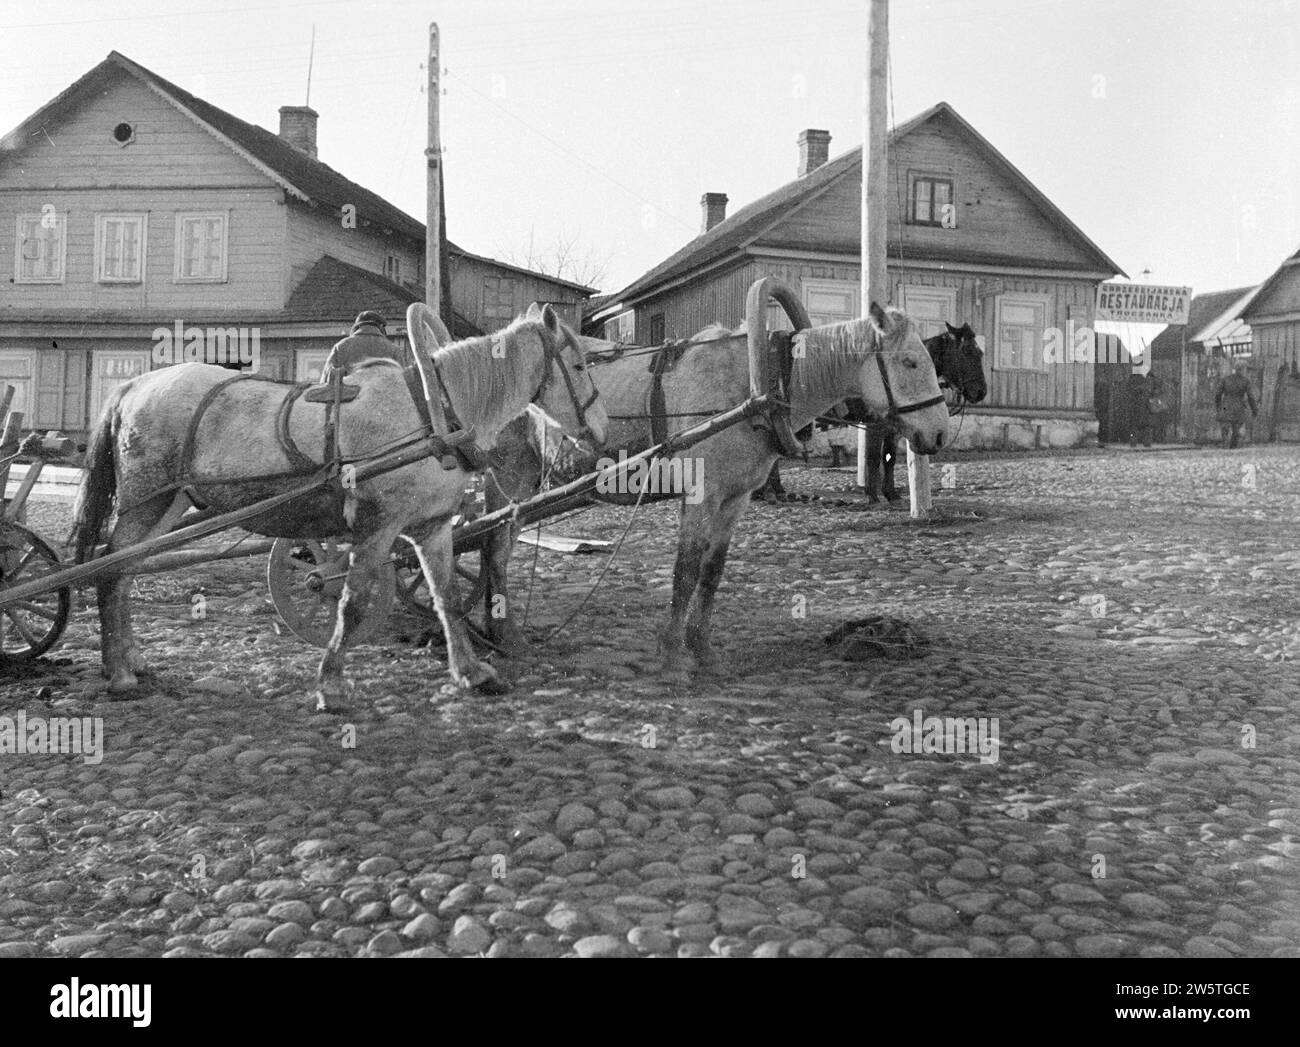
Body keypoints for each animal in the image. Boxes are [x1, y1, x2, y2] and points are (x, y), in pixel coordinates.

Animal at [759, 321, 977, 499]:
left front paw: (887, 492)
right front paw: (876, 494)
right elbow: (876, 457)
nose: (980, 391)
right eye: (969, 352)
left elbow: (887, 457)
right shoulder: (879, 425)